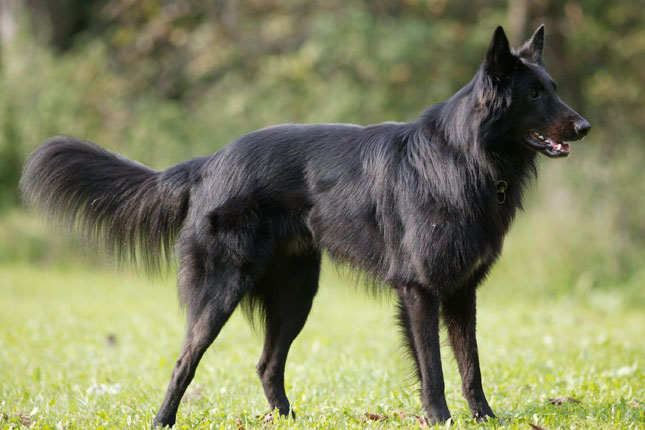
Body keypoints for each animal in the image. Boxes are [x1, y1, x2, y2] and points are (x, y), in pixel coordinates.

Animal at [18, 26, 588, 426]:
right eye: (534, 95)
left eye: (553, 88)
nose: (584, 126)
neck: (463, 158)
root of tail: (208, 164)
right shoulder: (420, 290)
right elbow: (435, 370)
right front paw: (441, 420)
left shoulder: (462, 291)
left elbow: (471, 365)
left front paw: (485, 419)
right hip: (221, 292)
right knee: (184, 362)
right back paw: (163, 421)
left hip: (296, 296)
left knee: (267, 364)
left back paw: (286, 419)